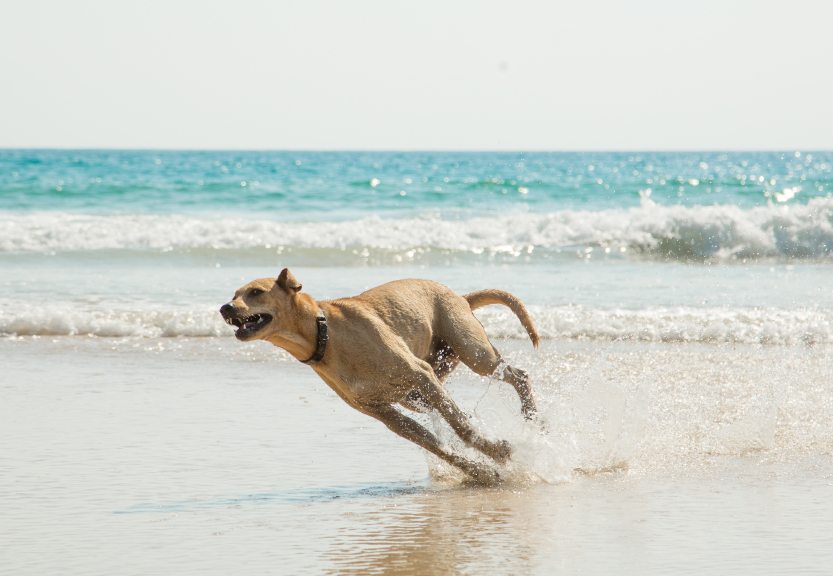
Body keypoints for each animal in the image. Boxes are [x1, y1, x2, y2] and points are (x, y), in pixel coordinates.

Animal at [218, 268, 536, 482]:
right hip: (420, 389)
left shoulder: (420, 374)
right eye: (234, 295)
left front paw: (497, 451)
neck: (324, 335)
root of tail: (461, 296)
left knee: (517, 375)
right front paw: (480, 470)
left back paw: (532, 417)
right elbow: (437, 445)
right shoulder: (385, 413)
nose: (225, 307)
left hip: (472, 351)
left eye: (255, 292)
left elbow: (462, 428)